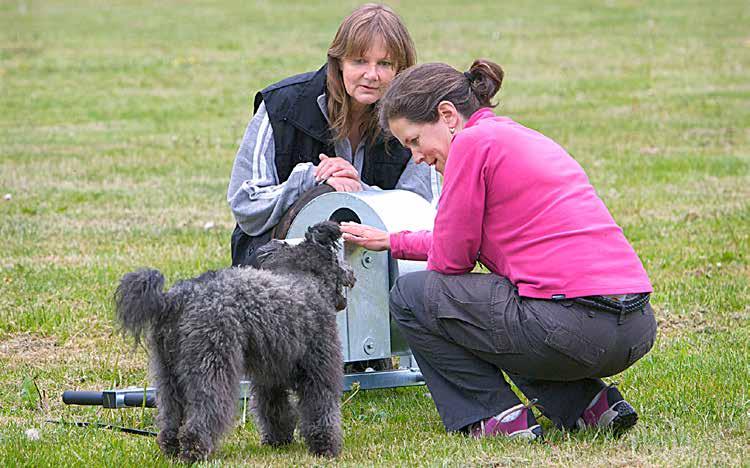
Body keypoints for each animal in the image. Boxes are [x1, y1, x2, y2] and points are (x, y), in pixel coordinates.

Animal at [114, 222, 356, 460]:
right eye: (338, 256)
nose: (352, 273)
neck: (306, 277)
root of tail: (173, 300)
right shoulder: (319, 368)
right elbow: (320, 406)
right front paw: (325, 446)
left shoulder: (270, 376)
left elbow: (273, 408)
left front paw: (278, 440)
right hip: (211, 364)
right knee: (206, 408)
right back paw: (194, 450)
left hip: (168, 371)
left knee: (171, 412)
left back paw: (171, 448)